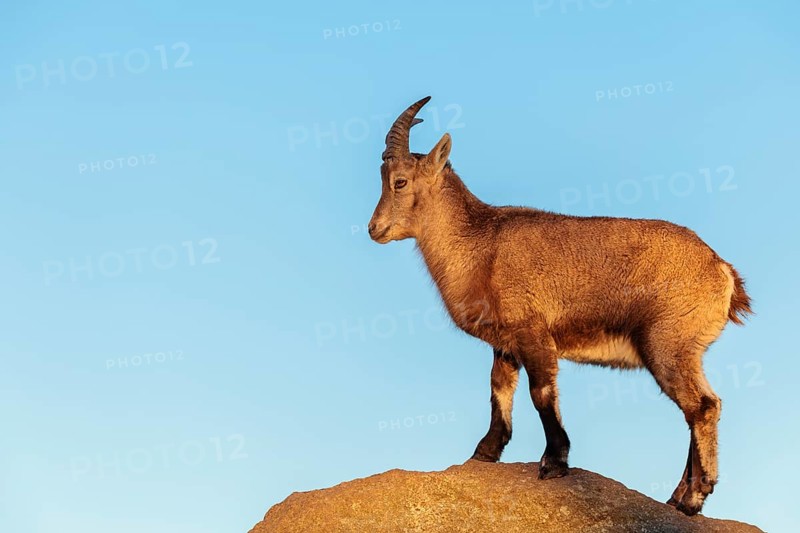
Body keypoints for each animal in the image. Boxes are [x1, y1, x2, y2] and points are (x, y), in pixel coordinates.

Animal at [368, 96, 752, 516]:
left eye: (399, 181)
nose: (374, 228)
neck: (481, 245)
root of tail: (722, 271)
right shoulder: (505, 343)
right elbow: (498, 389)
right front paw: (485, 452)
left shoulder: (533, 332)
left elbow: (541, 393)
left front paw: (554, 461)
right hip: (683, 351)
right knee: (695, 409)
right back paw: (678, 497)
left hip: (667, 344)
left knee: (703, 406)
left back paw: (694, 498)